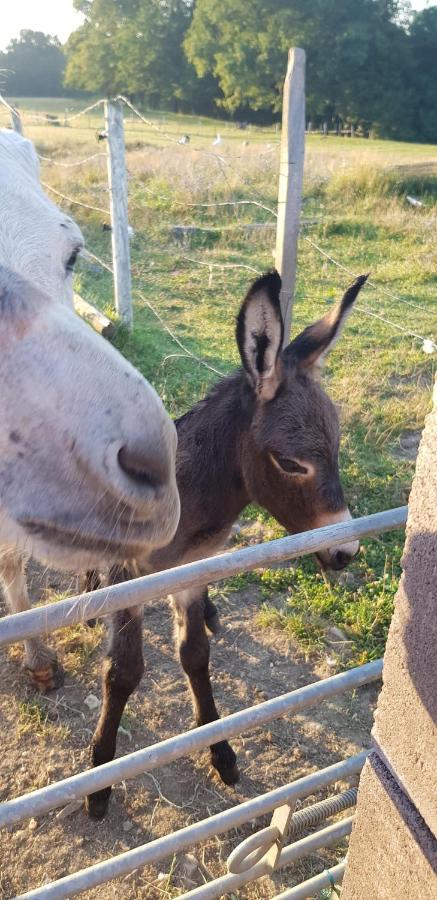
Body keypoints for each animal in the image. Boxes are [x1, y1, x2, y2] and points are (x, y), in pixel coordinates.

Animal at [84, 266, 364, 816]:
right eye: (290, 463)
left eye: (338, 447)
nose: (346, 551)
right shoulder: (127, 576)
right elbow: (123, 671)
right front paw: (101, 776)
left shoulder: (194, 570)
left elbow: (195, 655)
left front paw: (219, 749)